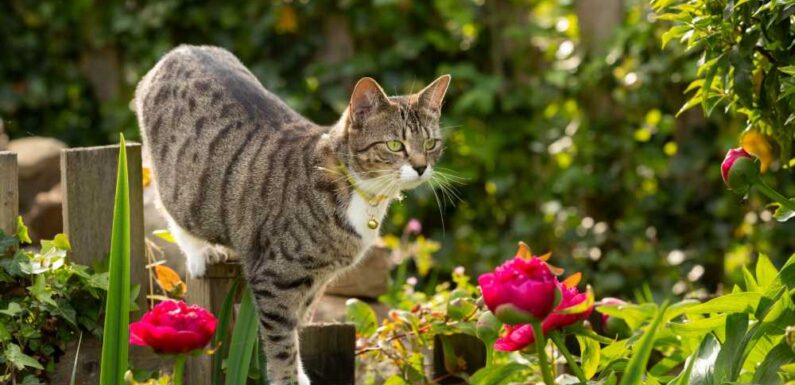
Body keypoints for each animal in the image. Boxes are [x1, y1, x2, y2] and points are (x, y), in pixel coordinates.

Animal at [134, 45, 450, 384]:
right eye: (394, 145)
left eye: (430, 143)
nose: (421, 167)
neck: (358, 189)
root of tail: (181, 50)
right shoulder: (275, 278)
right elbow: (282, 342)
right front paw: (287, 377)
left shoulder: (317, 280)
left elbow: (298, 325)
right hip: (181, 188)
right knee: (172, 212)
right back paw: (200, 252)